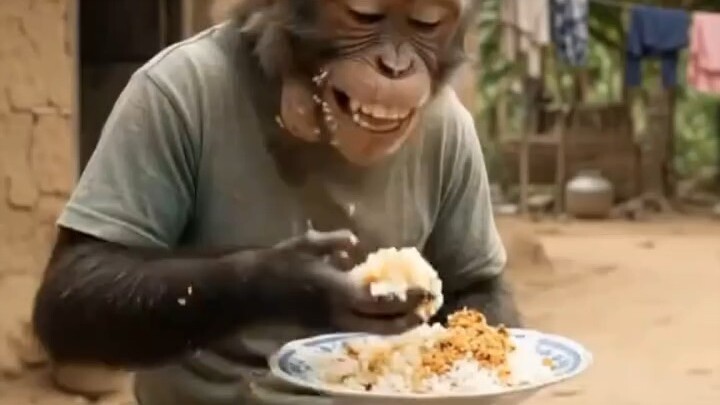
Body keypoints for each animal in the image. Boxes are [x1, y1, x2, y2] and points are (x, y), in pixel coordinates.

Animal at [32, 1, 522, 404]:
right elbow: (85, 272)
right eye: (365, 16)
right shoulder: (158, 95)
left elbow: (474, 283)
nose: (395, 68)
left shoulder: (460, 133)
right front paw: (291, 278)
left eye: (426, 23)